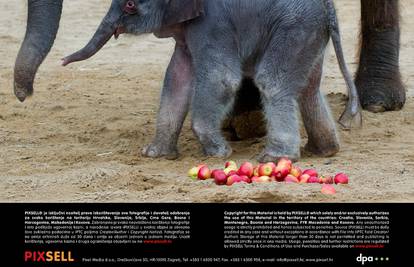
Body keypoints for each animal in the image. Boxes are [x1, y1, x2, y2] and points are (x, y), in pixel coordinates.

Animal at [64, 0, 362, 163]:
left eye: (130, 4)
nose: (63, 62)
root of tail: (328, 8)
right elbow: (177, 78)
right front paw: (154, 155)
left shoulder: (212, 23)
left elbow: (222, 79)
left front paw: (220, 153)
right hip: (309, 33)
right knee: (309, 89)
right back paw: (324, 151)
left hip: (294, 26)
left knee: (273, 83)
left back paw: (275, 159)